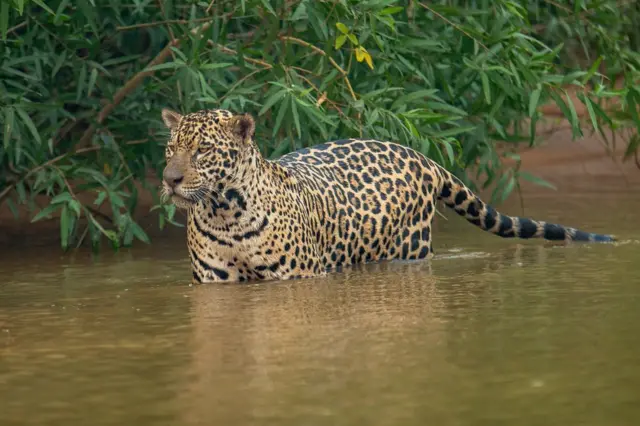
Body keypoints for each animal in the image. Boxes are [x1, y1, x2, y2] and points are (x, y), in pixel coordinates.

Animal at [160, 108, 616, 284]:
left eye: (202, 150)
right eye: (170, 149)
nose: (169, 179)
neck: (224, 211)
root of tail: (419, 154)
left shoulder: (296, 278)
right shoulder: (214, 284)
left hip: (408, 249)